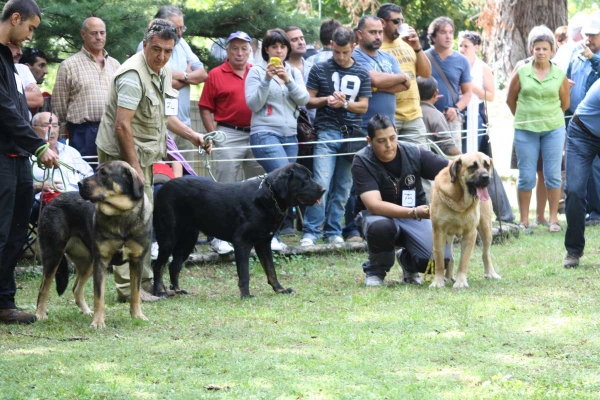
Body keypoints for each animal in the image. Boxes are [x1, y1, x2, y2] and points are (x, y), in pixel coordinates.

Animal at [34, 161, 151, 330]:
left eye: (104, 174)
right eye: (97, 171)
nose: (79, 183)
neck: (120, 214)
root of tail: (52, 201)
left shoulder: (137, 261)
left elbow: (135, 292)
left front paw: (137, 315)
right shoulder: (101, 261)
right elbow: (99, 296)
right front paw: (98, 322)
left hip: (88, 261)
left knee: (76, 288)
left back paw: (86, 311)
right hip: (53, 255)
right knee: (44, 288)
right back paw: (40, 314)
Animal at [152, 162, 326, 296]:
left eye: (310, 177)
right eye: (305, 179)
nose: (323, 190)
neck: (269, 197)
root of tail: (162, 188)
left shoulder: (264, 243)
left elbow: (271, 270)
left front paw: (280, 290)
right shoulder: (241, 242)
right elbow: (244, 272)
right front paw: (246, 295)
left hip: (188, 240)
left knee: (174, 266)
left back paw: (177, 291)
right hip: (168, 238)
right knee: (158, 265)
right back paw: (159, 291)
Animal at [428, 152, 500, 288]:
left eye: (487, 165)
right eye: (473, 167)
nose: (486, 177)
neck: (460, 199)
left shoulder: (470, 233)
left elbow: (464, 261)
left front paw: (461, 282)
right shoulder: (439, 231)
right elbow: (439, 259)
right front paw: (438, 281)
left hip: (486, 228)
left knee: (486, 253)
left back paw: (491, 273)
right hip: (448, 236)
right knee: (450, 257)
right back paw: (447, 277)